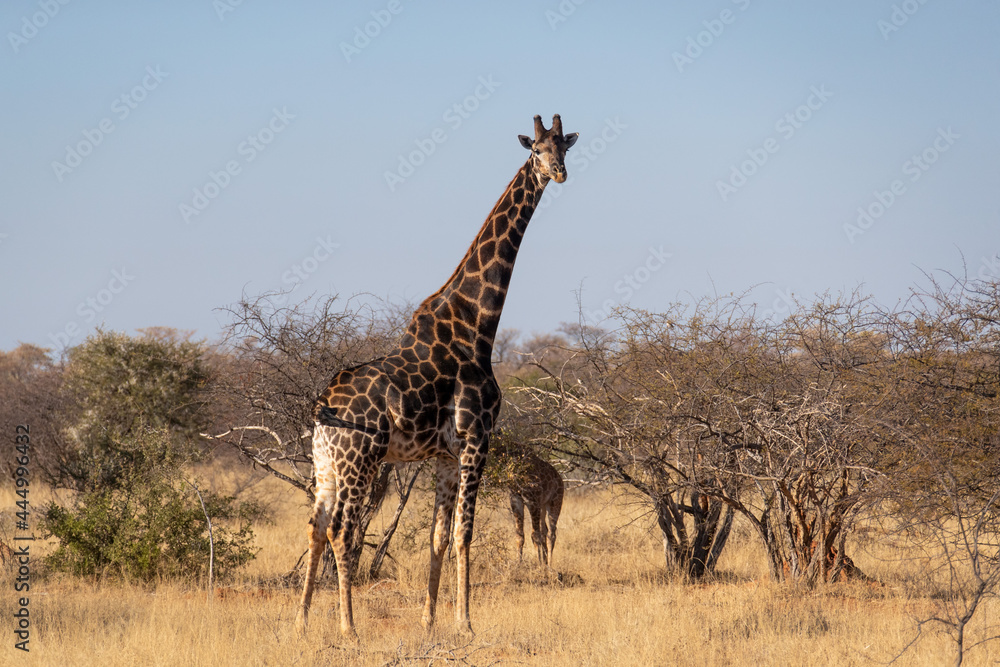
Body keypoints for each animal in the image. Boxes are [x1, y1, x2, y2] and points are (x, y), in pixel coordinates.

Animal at [296, 115, 578, 637]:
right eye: (536, 151)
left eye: (564, 147)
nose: (560, 173)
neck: (477, 324)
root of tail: (324, 406)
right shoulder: (475, 439)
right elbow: (465, 534)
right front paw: (465, 622)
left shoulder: (445, 455)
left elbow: (438, 538)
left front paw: (430, 621)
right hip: (360, 459)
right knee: (344, 530)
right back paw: (349, 629)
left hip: (325, 461)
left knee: (317, 525)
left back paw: (301, 623)